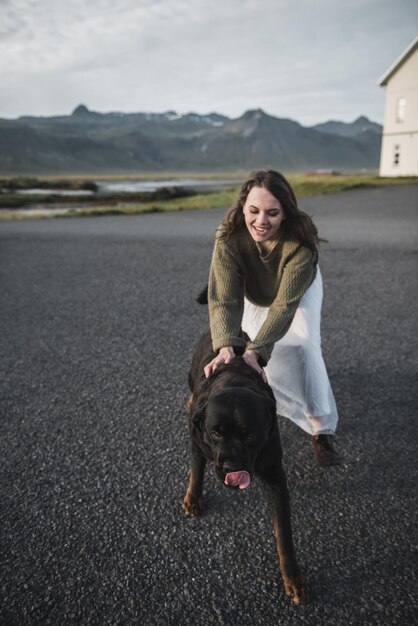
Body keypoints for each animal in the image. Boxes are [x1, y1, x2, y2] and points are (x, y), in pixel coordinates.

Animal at [183, 330, 306, 604]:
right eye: (216, 433)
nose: (231, 465)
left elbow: (283, 531)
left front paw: (293, 578)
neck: (233, 378)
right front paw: (193, 498)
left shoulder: (273, 473)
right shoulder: (198, 440)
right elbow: (196, 469)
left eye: (249, 435)